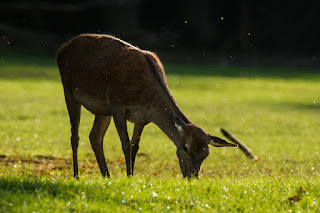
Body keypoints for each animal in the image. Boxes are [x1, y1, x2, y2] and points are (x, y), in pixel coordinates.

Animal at [56, 34, 238, 179]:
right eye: (185, 148)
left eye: (205, 154)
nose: (192, 177)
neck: (144, 93)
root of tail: (62, 49)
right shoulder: (117, 105)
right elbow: (126, 144)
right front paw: (128, 177)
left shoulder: (143, 118)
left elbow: (135, 146)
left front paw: (131, 176)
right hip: (69, 91)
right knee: (75, 136)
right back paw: (76, 175)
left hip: (102, 110)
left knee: (94, 137)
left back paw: (106, 175)